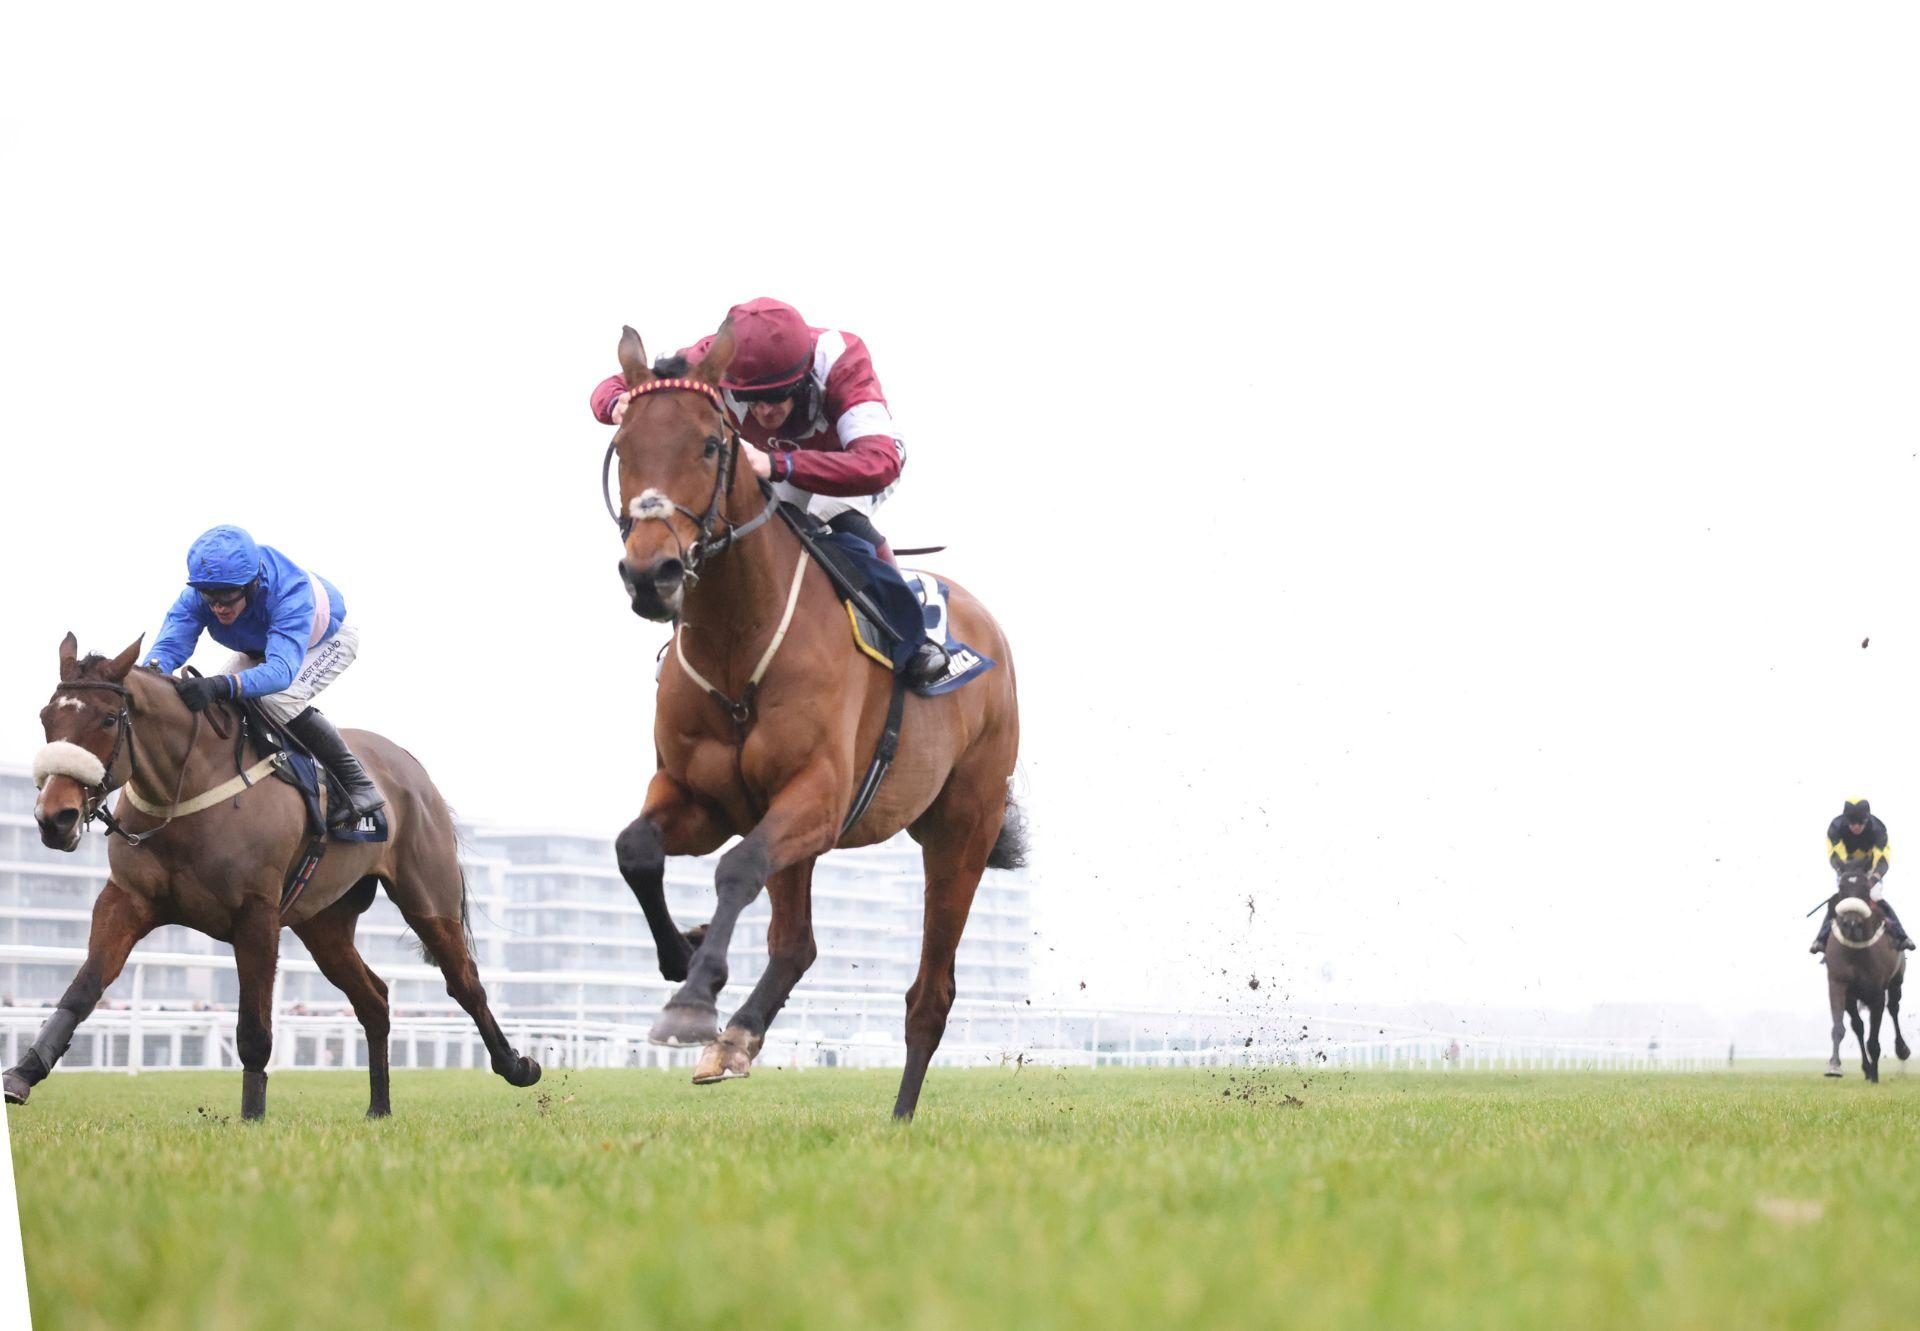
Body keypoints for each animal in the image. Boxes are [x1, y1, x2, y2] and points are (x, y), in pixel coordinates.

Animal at [9, 637, 541, 1113]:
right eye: (46, 718)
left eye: (107, 718)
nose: (54, 817)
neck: (188, 790)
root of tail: (412, 767)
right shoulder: (127, 899)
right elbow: (84, 988)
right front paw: (24, 1072)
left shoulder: (257, 915)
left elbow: (254, 1029)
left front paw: (252, 1116)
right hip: (324, 924)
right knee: (374, 998)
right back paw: (379, 1108)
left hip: (428, 899)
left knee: (465, 982)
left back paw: (517, 1066)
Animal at [606, 322, 1029, 1121]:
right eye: (622, 442)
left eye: (710, 444)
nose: (652, 575)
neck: (739, 648)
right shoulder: (703, 798)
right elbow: (636, 850)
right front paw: (685, 954)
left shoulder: (821, 796)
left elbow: (737, 868)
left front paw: (693, 1001)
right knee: (795, 944)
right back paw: (739, 1035)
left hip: (962, 826)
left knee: (930, 994)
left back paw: (898, 1116)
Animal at [1820, 860, 1912, 1083]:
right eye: (1842, 888)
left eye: (1865, 889)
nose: (1851, 922)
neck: (1856, 950)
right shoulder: (1838, 985)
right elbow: (1841, 1028)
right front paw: (1835, 1066)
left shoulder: (1876, 993)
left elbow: (1874, 1039)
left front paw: (1876, 1076)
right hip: (1853, 997)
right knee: (1858, 1026)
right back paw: (1867, 1068)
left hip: (1896, 981)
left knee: (1894, 1008)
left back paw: (1901, 1050)